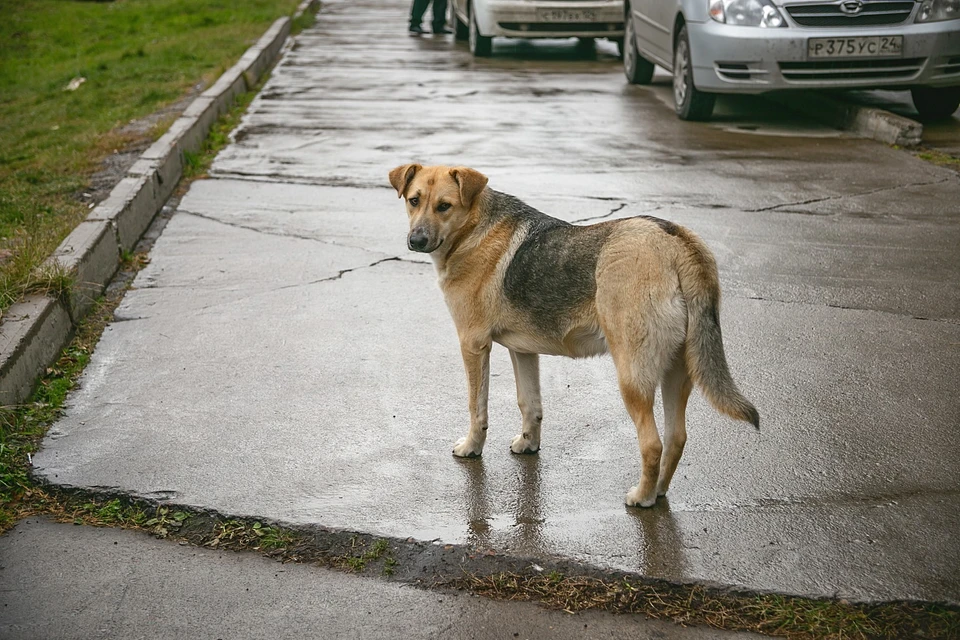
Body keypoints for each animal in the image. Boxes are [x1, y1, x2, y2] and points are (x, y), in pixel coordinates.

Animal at [386, 164, 752, 504]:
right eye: (414, 200)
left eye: (444, 206)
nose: (416, 241)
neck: (474, 228)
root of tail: (676, 239)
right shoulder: (522, 351)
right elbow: (529, 404)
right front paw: (529, 444)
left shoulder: (474, 345)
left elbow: (477, 407)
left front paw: (472, 447)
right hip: (677, 373)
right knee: (676, 439)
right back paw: (659, 491)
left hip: (632, 378)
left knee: (652, 444)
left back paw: (642, 497)